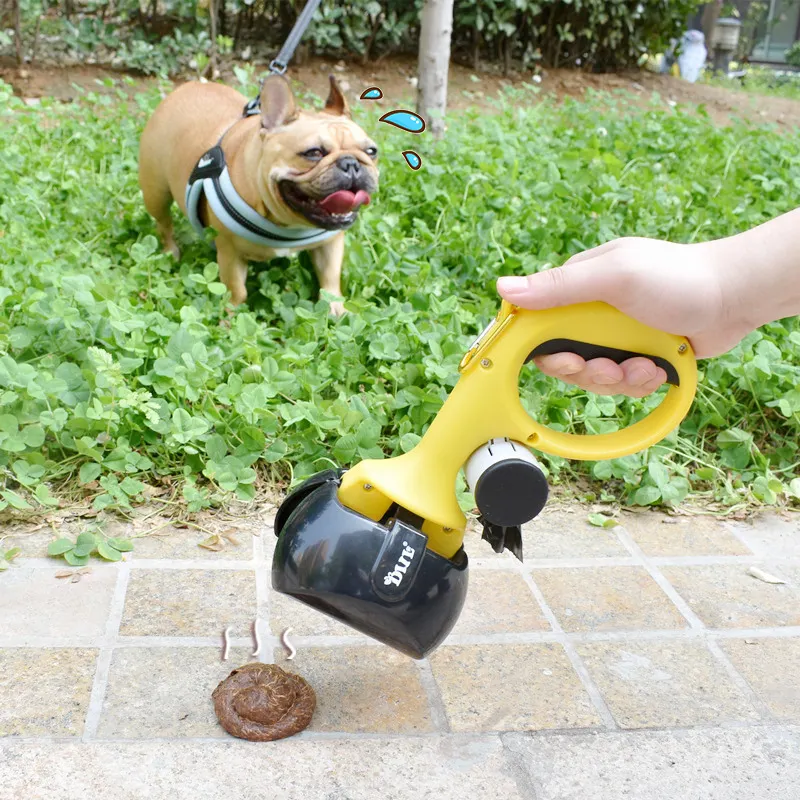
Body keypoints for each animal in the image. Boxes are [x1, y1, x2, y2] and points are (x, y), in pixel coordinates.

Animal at [138, 73, 378, 314]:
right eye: (314, 153)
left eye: (371, 151)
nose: (351, 163)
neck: (290, 224)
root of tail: (190, 86)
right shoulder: (230, 253)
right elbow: (236, 291)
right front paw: (230, 316)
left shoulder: (331, 243)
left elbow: (329, 280)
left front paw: (336, 309)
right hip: (156, 194)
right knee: (164, 224)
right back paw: (170, 251)